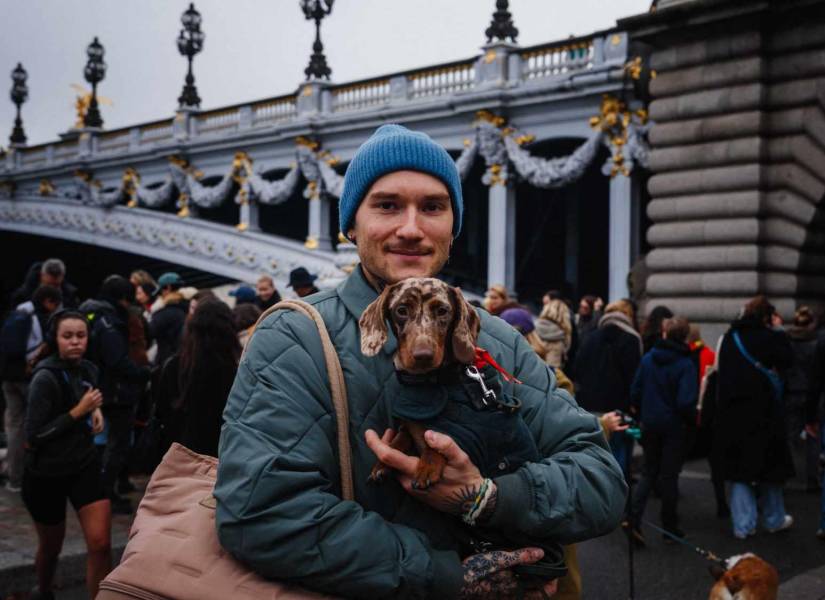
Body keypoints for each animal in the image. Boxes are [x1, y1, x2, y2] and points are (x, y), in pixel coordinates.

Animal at [358, 278, 480, 490]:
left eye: (442, 310)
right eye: (401, 310)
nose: (423, 356)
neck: (425, 382)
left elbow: (437, 442)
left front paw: (427, 467)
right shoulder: (408, 425)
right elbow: (400, 439)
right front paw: (382, 464)